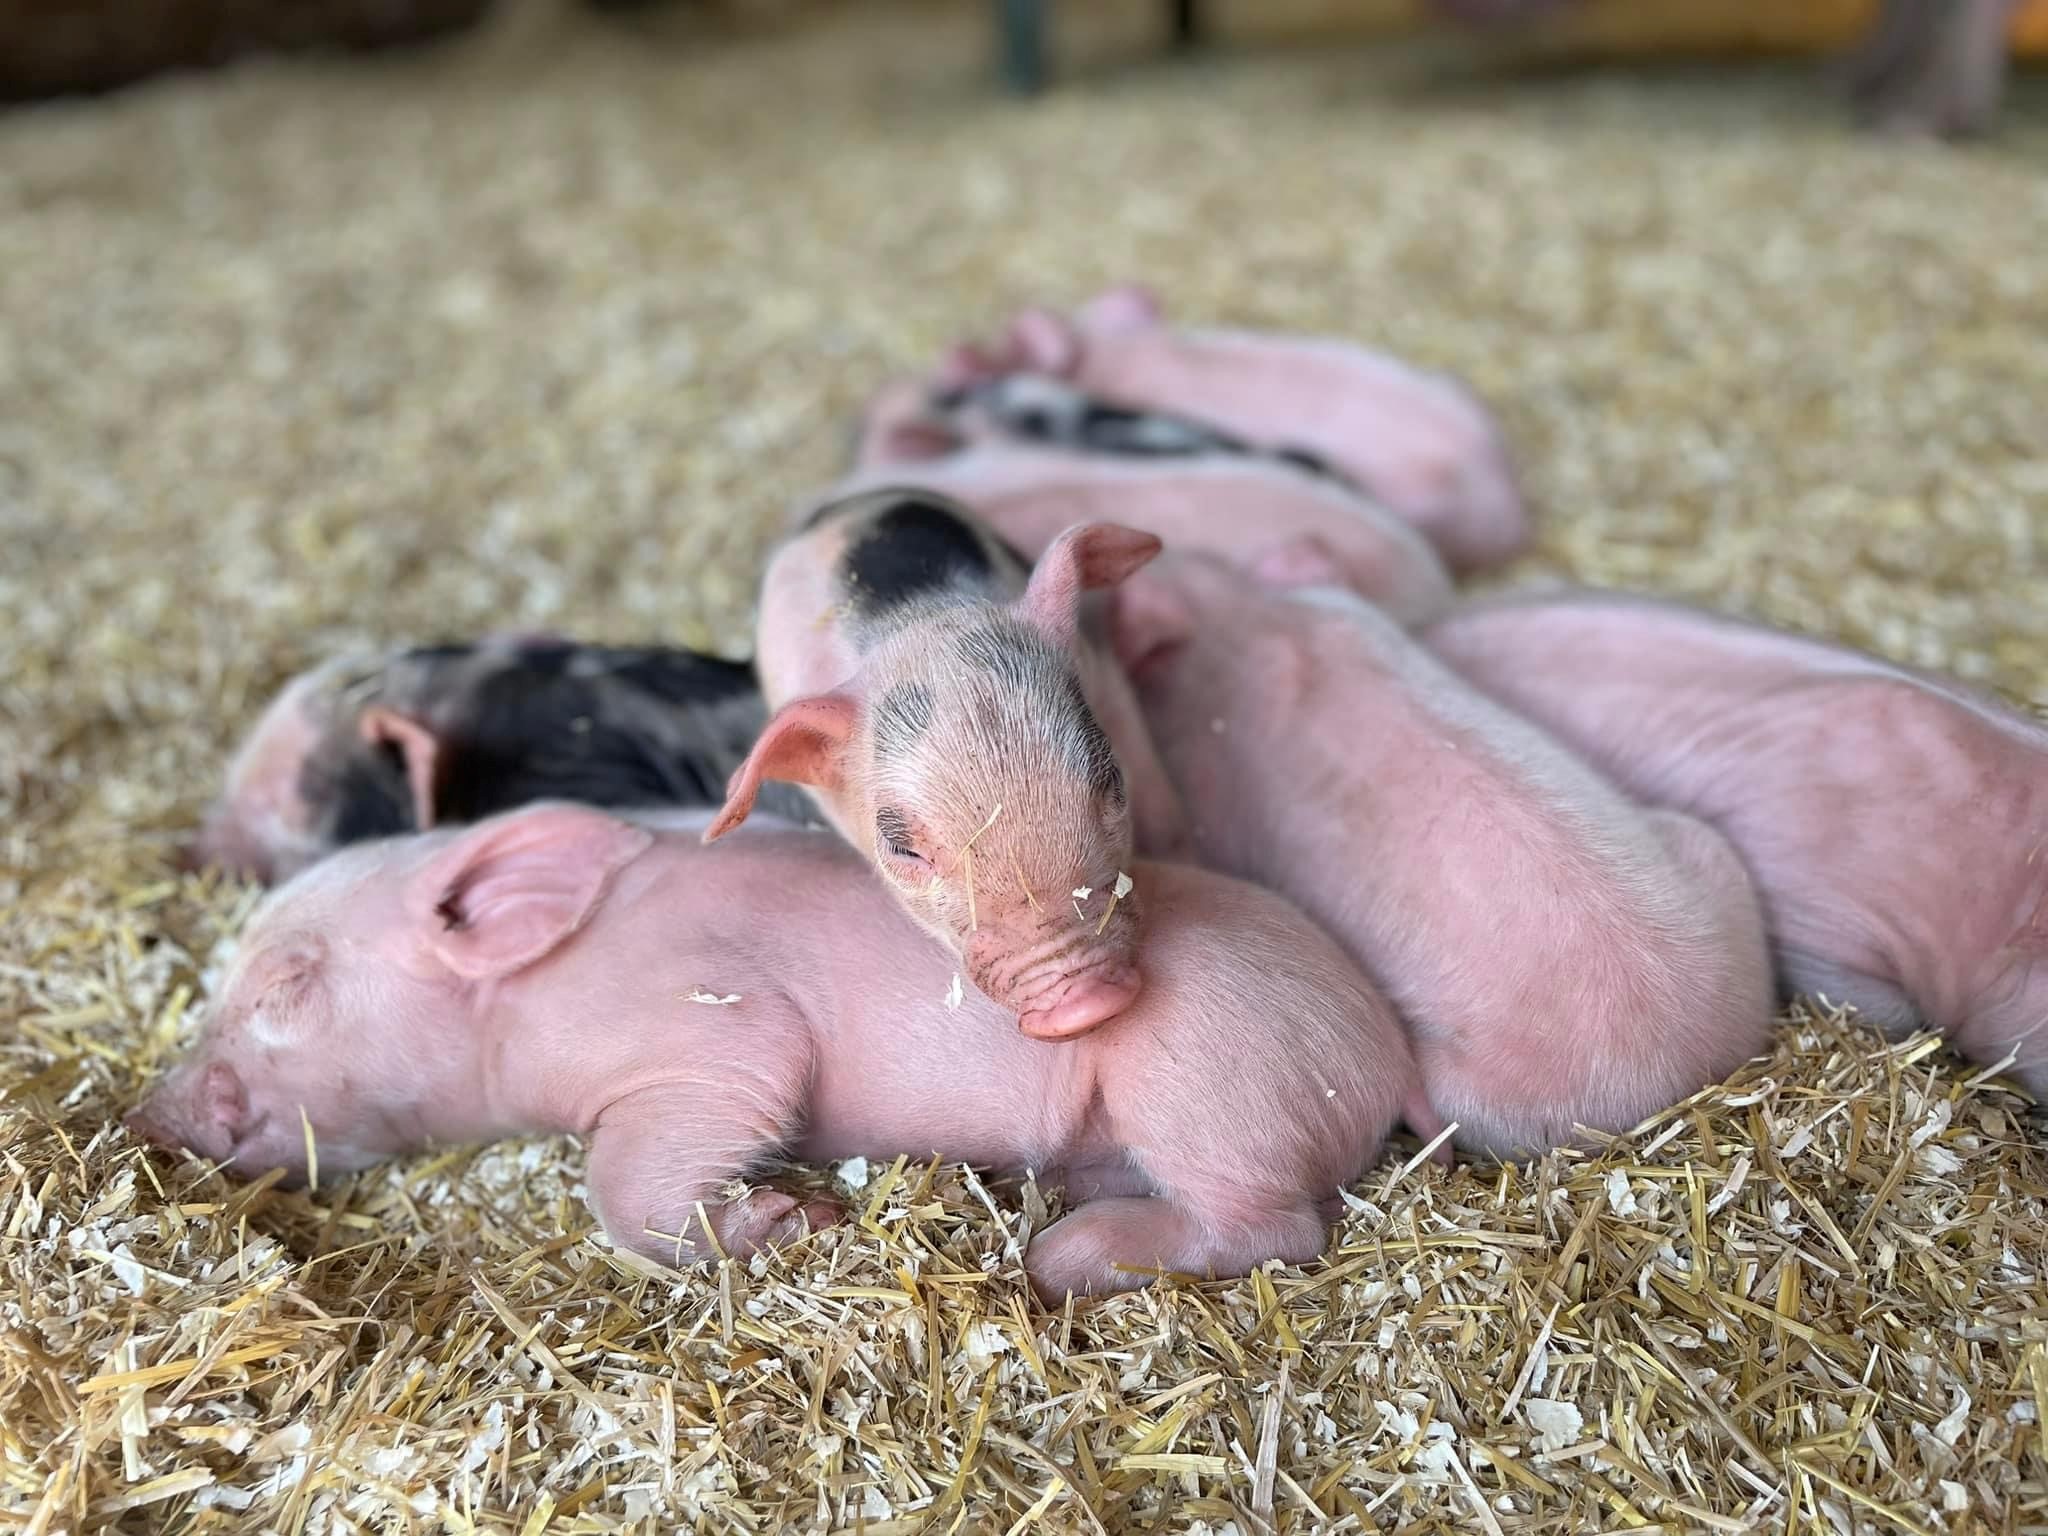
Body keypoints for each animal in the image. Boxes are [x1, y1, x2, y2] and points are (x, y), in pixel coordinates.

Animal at [127, 803, 1421, 1301]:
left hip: (1199, 1079)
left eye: (287, 986)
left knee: (1275, 1227)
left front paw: (796, 1219)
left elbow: (629, 1175)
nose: (154, 1113)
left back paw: (1063, 1254)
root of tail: (1381, 1055)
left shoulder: (715, 1027)